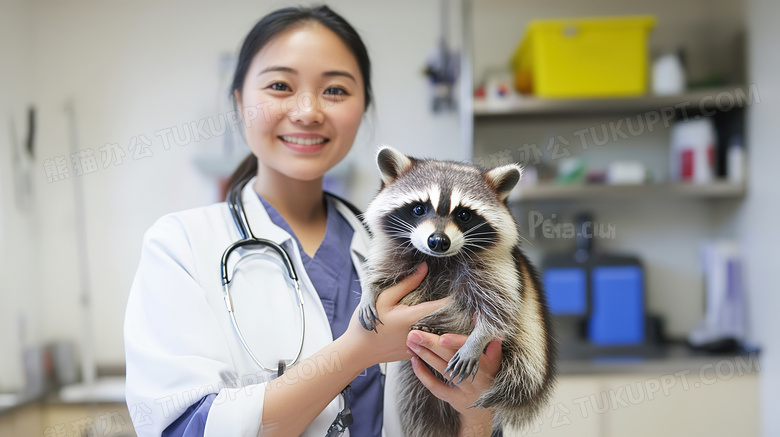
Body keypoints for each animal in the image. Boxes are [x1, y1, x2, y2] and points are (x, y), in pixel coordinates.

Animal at [356, 147, 556, 436]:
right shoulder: (395, 252)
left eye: (464, 215)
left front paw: (479, 337)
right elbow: (382, 275)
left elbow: (499, 308)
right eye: (419, 208)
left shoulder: (496, 267)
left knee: (522, 369)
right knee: (422, 413)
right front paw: (368, 291)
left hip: (533, 345)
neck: (439, 259)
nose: (438, 241)